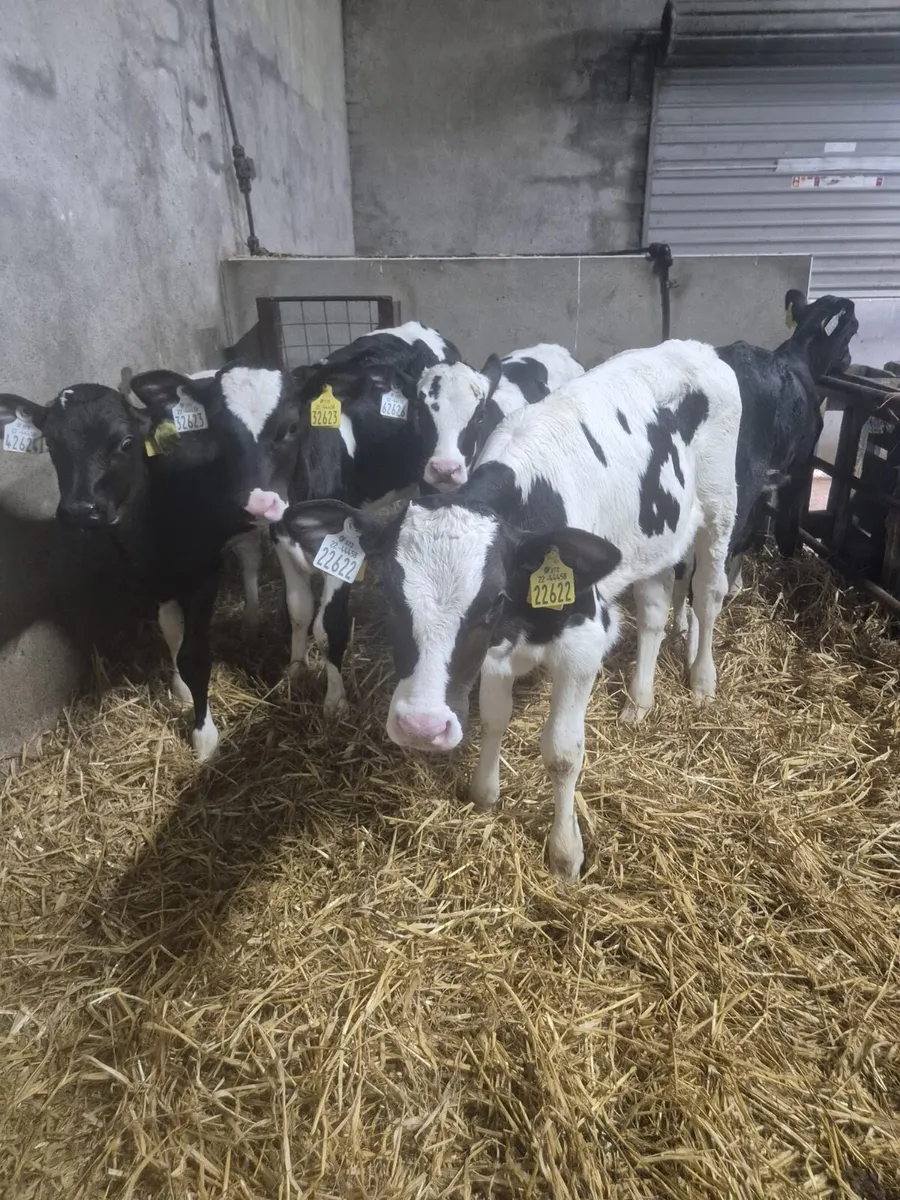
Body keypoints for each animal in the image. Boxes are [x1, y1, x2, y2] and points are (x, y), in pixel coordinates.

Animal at [0, 363, 303, 759]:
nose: (81, 510)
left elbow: (194, 654)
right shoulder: (150, 575)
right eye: (51, 444)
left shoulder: (203, 574)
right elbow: (171, 631)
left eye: (126, 442)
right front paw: (181, 690)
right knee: (249, 556)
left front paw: (204, 737)